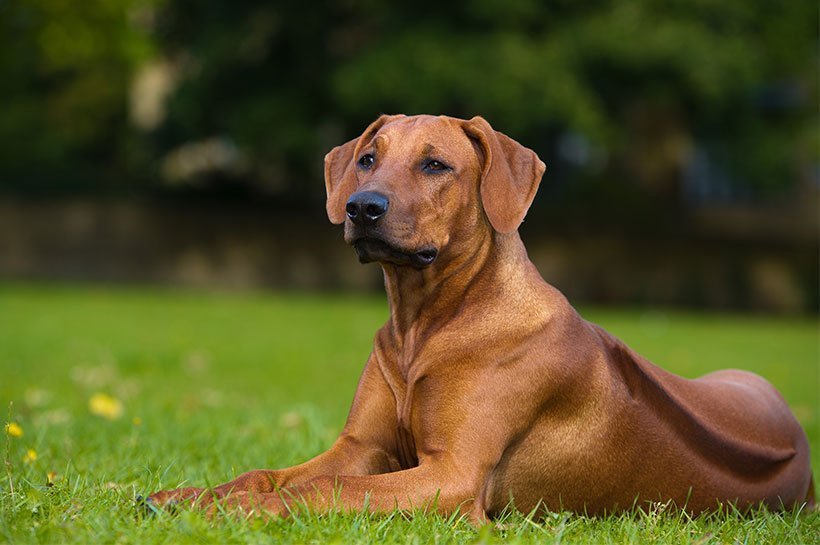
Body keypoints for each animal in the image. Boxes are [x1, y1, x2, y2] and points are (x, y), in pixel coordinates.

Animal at [149, 113, 812, 520]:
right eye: (366, 159)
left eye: (435, 165)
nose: (362, 207)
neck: (424, 325)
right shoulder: (361, 445)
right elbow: (271, 472)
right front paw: (195, 493)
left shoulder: (454, 475)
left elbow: (330, 486)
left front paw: (237, 510)